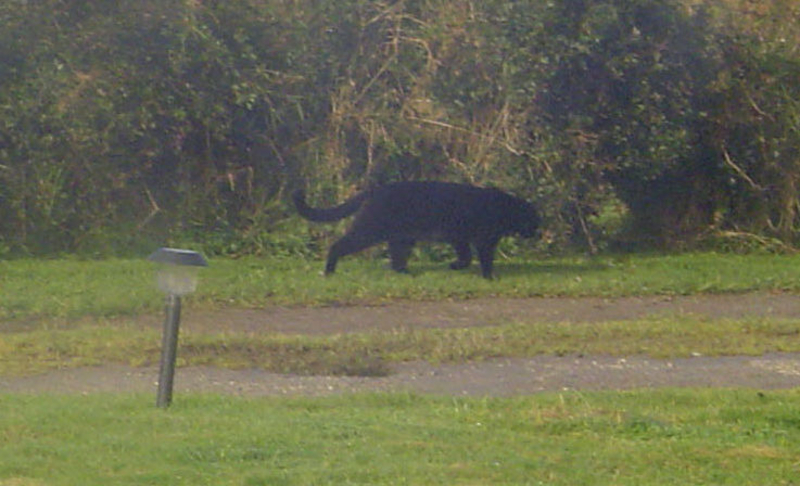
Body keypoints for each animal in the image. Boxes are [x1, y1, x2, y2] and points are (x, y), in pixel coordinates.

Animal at [296, 180, 544, 278]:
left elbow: (466, 256)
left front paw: (455, 266)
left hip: (402, 238)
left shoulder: (459, 238)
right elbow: (483, 259)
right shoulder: (482, 240)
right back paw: (329, 272)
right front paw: (489, 277)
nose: (536, 232)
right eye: (534, 221)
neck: (504, 208)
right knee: (338, 245)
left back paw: (406, 273)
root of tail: (375, 189)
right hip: (370, 229)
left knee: (397, 258)